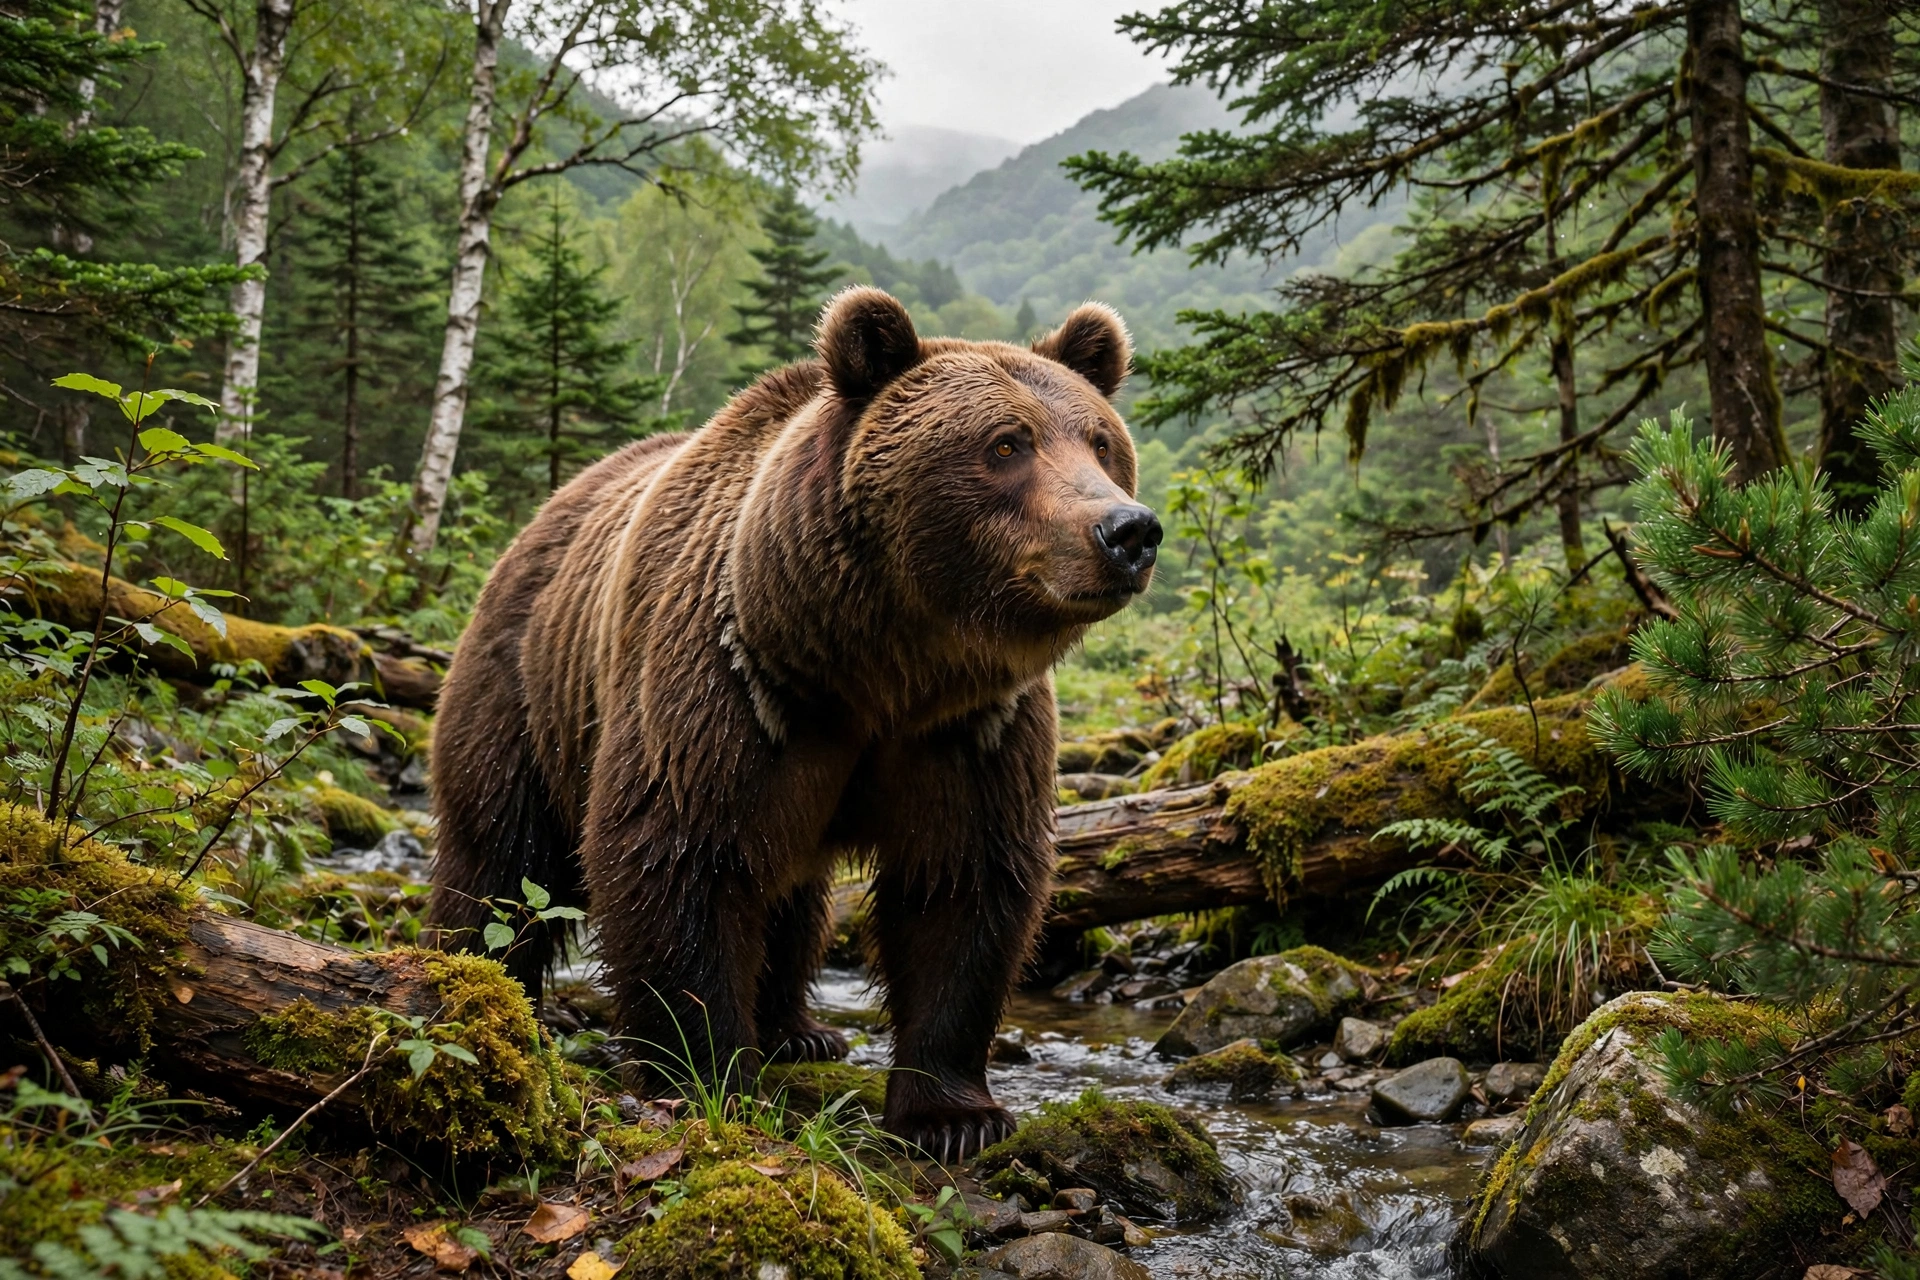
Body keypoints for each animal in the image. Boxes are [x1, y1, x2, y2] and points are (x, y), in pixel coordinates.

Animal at [426, 287, 1160, 1159]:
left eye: (1101, 443)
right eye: (1007, 442)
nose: (1127, 530)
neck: (873, 669)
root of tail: (546, 513)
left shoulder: (972, 727)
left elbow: (964, 883)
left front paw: (953, 1114)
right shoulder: (730, 690)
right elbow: (678, 859)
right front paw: (710, 1079)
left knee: (792, 898)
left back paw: (797, 1030)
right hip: (526, 690)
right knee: (501, 857)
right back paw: (476, 983)